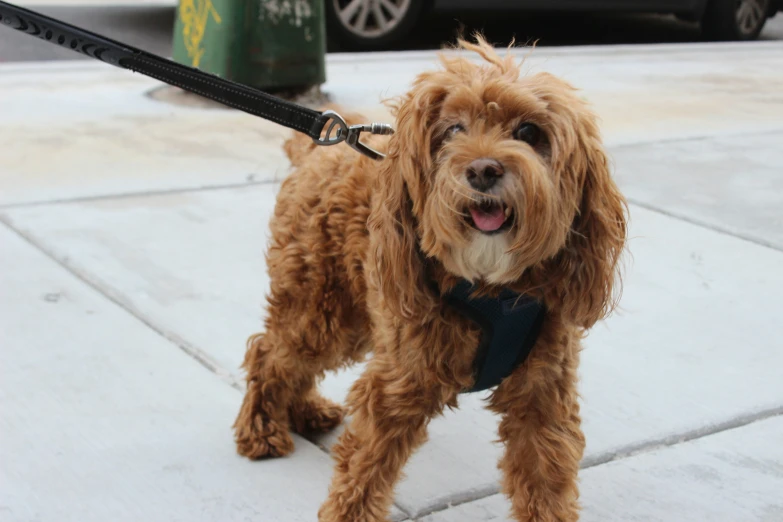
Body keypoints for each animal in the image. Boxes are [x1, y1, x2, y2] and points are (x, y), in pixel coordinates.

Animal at [233, 36, 632, 520]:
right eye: (454, 129)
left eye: (528, 133)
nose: (483, 170)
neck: (492, 287)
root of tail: (322, 145)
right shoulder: (398, 382)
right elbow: (364, 470)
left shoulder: (543, 394)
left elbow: (546, 482)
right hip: (323, 305)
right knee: (271, 352)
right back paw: (261, 429)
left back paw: (305, 410)